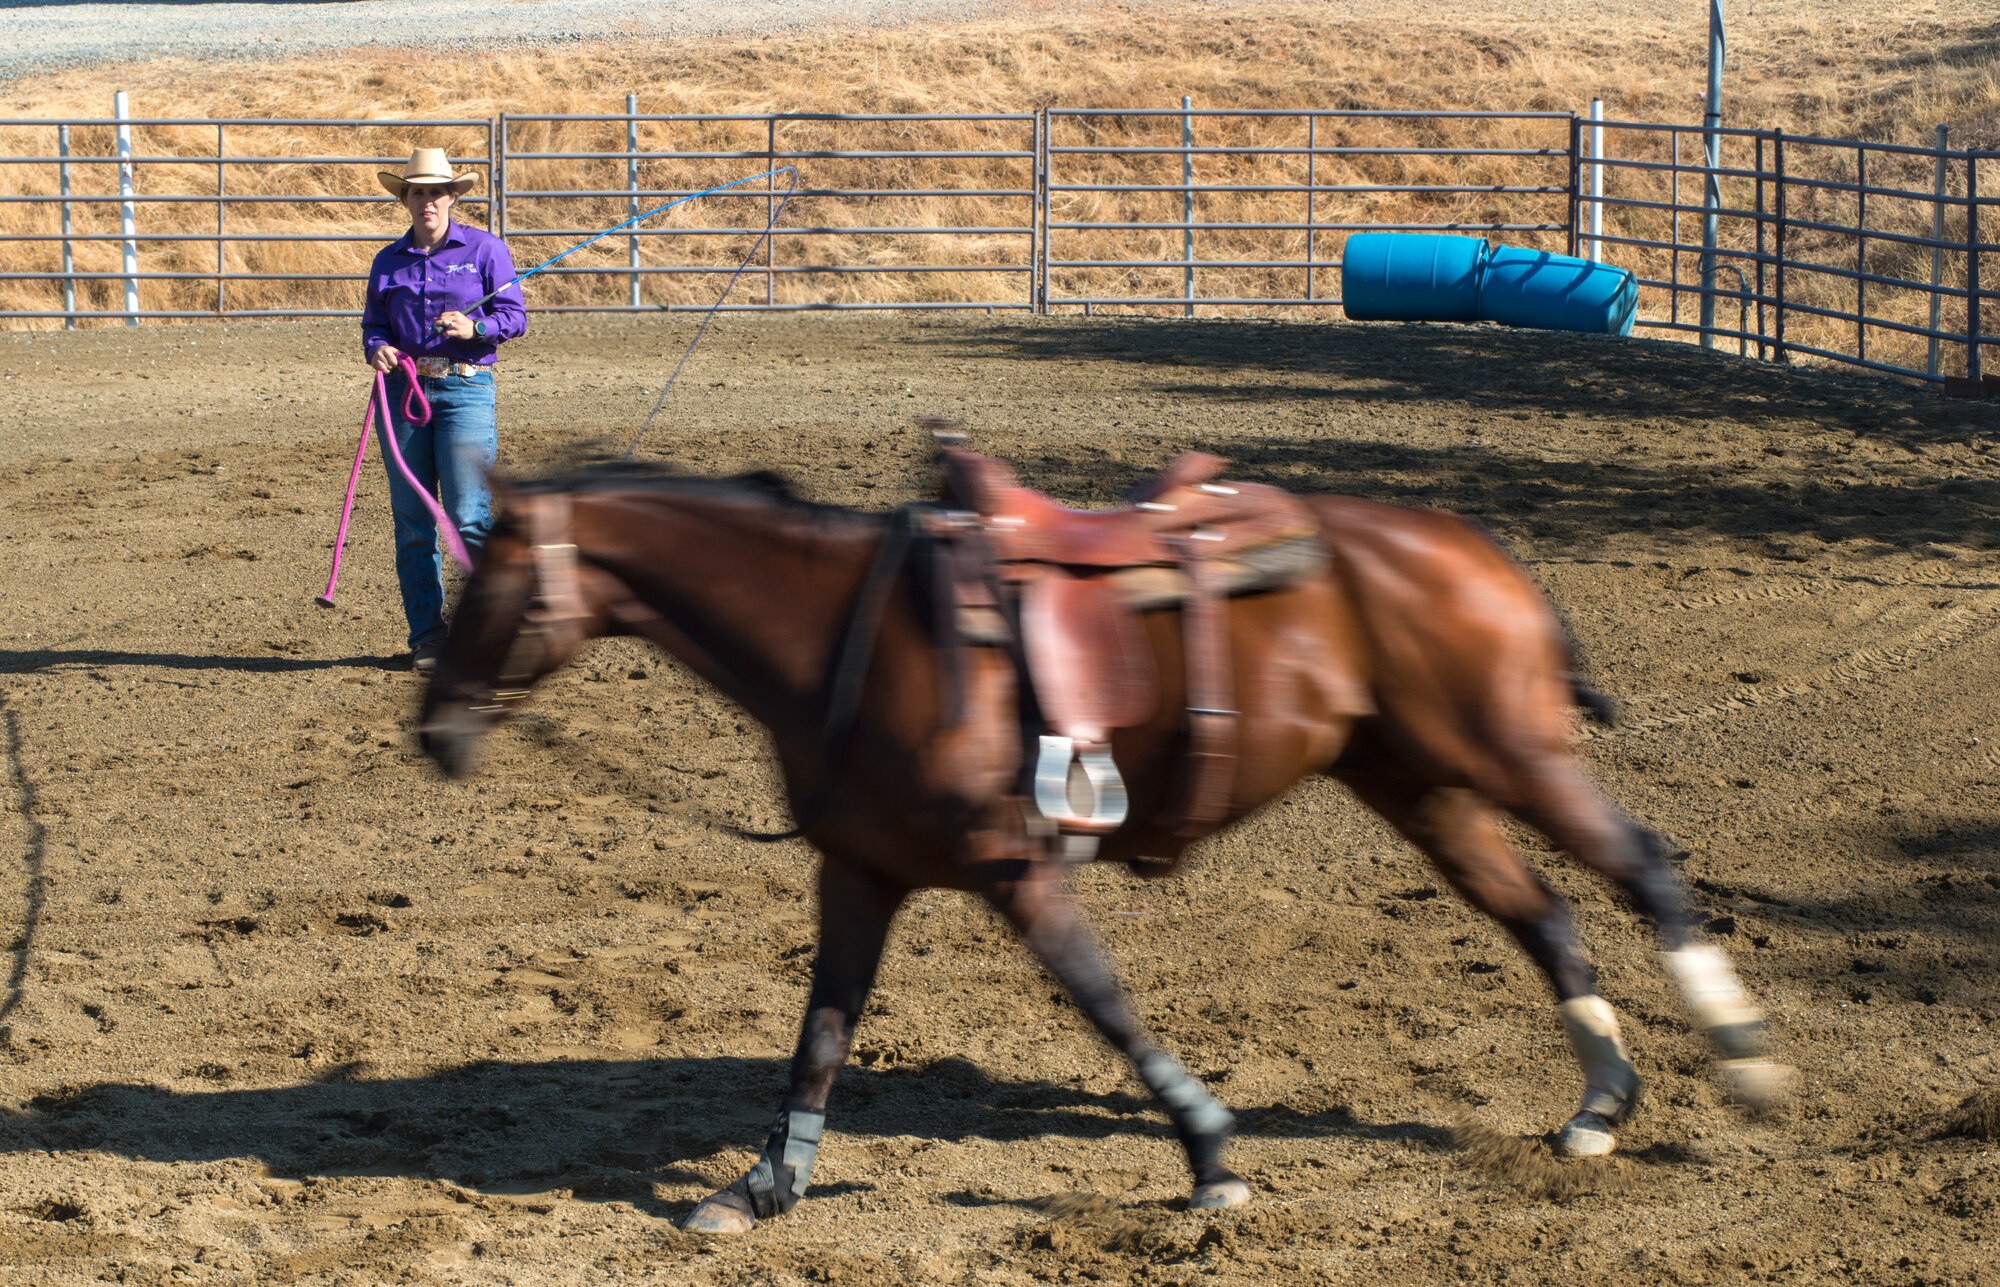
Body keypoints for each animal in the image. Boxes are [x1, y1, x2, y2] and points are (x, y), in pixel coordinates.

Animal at [414, 449, 1792, 1223]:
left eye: (482, 572)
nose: (431, 731)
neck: (847, 638)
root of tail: (1469, 545)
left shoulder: (1012, 867)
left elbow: (1104, 1002)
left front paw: (1212, 1157)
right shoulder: (859, 871)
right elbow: (820, 1032)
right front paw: (760, 1185)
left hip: (1509, 752)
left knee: (1639, 868)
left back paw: (1744, 1066)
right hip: (1416, 784)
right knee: (1540, 913)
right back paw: (1598, 1106)